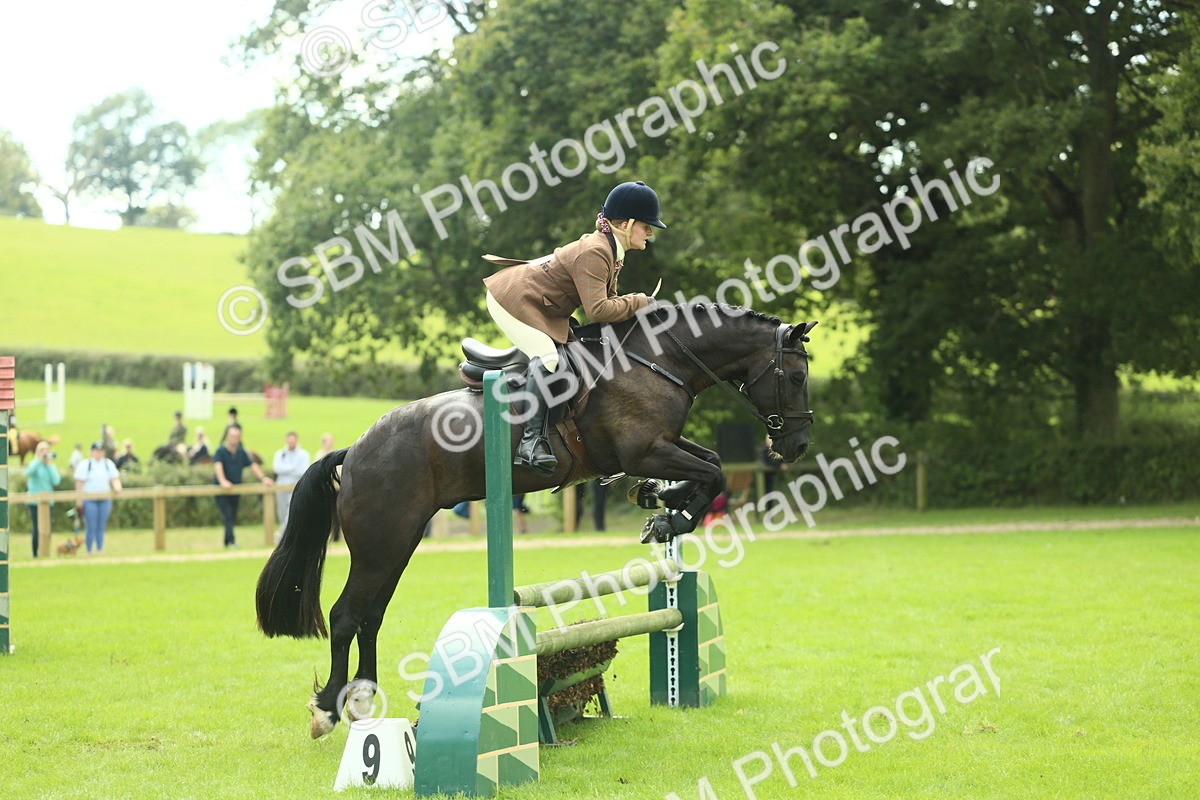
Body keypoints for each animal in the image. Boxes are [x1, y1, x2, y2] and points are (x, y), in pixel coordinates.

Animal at [255, 303, 817, 738]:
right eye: (796, 377)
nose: (796, 446)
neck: (659, 362)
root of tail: (354, 451)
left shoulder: (661, 446)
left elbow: (712, 463)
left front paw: (660, 502)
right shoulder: (643, 450)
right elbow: (713, 471)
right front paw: (669, 520)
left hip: (400, 542)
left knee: (370, 615)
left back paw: (363, 702)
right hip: (381, 543)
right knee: (347, 614)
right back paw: (329, 710)